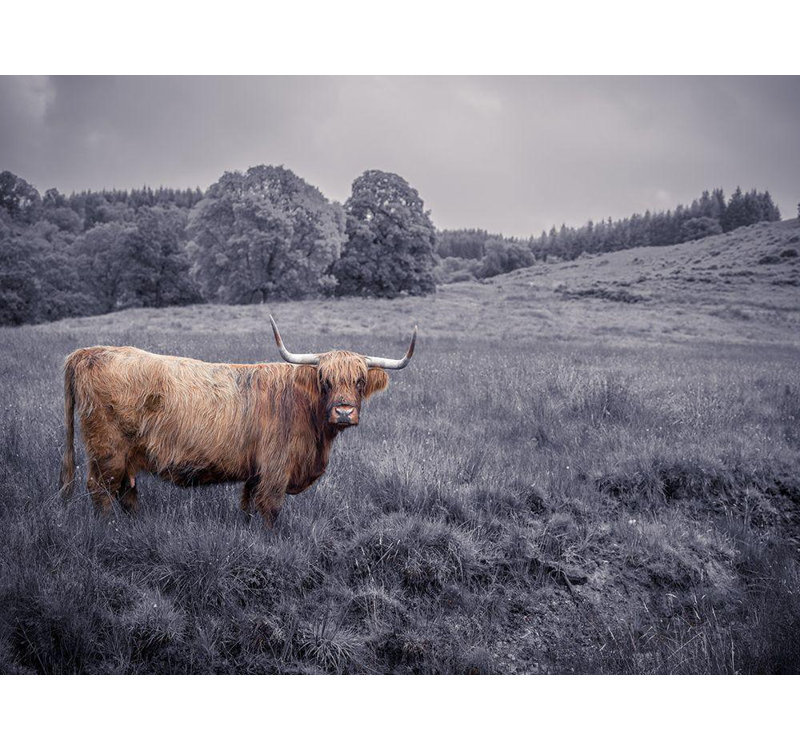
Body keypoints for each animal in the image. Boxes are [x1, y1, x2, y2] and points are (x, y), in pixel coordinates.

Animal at [58, 316, 416, 526]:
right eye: (325, 380)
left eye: (359, 381)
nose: (343, 412)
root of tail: (88, 352)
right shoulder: (275, 469)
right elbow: (269, 509)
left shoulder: (255, 471)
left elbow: (247, 505)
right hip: (107, 450)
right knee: (101, 490)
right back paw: (110, 529)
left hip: (126, 456)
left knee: (126, 490)